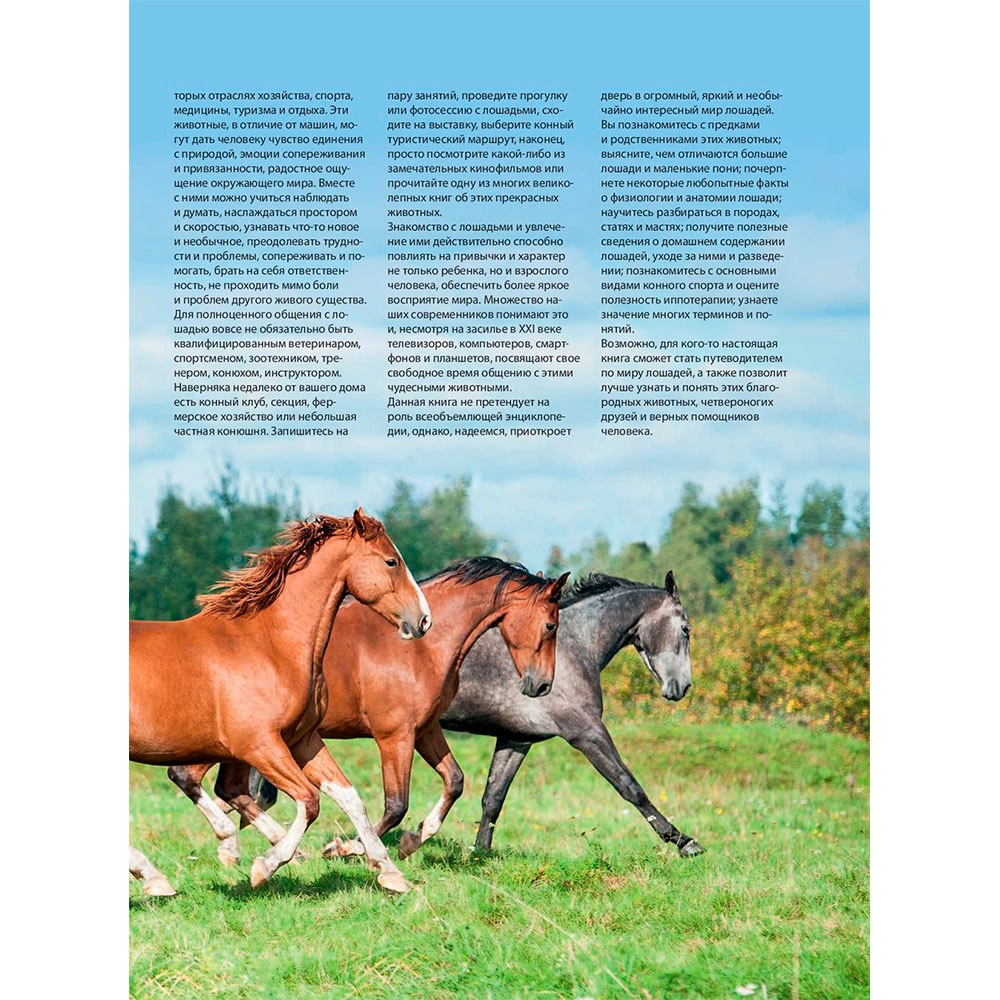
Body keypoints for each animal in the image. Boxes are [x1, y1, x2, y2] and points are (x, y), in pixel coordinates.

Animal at [129, 508, 431, 896]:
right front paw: (265, 866)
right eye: (391, 561)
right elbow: (310, 801)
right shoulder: (260, 745)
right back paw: (156, 876)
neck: (271, 646)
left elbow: (350, 798)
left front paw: (390, 873)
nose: (423, 620)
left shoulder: (303, 739)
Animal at [186, 558, 569, 864]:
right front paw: (347, 847)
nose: (541, 686)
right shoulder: (394, 736)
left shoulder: (425, 729)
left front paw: (414, 839)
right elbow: (396, 805)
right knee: (190, 777)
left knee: (224, 788)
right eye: (551, 625)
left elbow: (454, 781)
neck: (423, 649)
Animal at [439, 572, 705, 857]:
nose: (682, 686)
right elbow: (630, 786)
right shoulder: (586, 732)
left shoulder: (516, 739)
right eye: (686, 629)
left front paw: (481, 853)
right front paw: (685, 841)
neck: (572, 646)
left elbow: (493, 797)